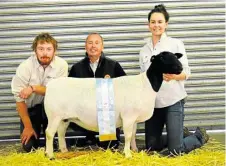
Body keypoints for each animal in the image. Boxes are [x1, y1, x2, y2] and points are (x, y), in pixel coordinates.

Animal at [43, 51, 182, 159]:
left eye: (176, 56)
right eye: (162, 58)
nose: (180, 67)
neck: (146, 84)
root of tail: (50, 85)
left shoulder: (134, 118)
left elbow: (133, 135)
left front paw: (134, 150)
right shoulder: (128, 116)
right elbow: (128, 136)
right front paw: (128, 154)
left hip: (64, 118)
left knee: (60, 133)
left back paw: (64, 151)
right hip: (54, 115)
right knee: (49, 133)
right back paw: (50, 155)